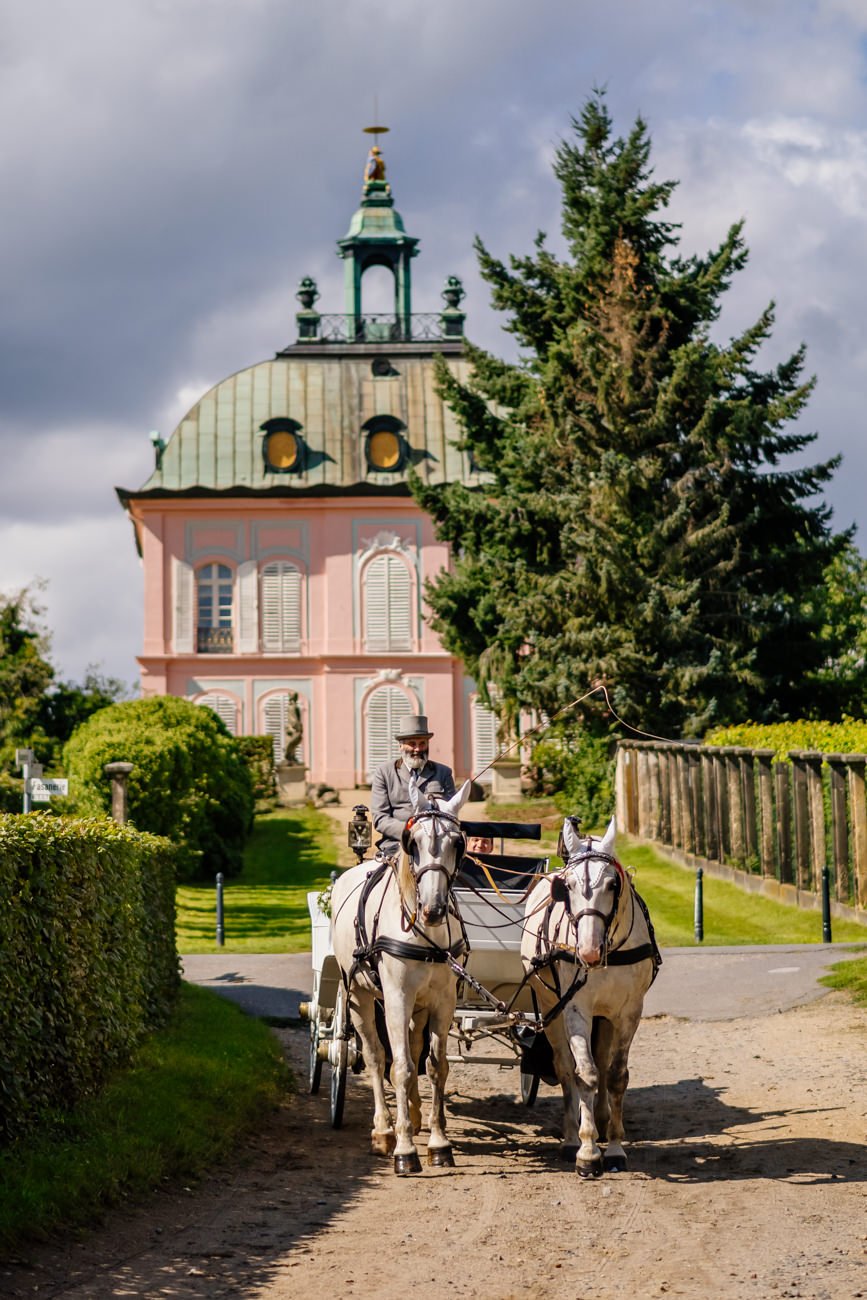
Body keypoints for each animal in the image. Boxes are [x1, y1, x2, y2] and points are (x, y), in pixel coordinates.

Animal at [328, 780, 470, 1180]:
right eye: (413, 842)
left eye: (458, 842)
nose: (434, 909)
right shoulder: (395, 998)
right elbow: (402, 1068)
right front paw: (405, 1150)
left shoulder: (442, 1001)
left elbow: (435, 1066)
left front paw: (439, 1143)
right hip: (359, 996)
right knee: (377, 1057)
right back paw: (383, 1131)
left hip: (417, 1006)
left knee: (412, 1047)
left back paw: (416, 1116)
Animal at [522, 821, 657, 1180]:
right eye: (566, 886)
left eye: (612, 884)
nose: (589, 951)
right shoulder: (575, 1009)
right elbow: (585, 1073)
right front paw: (587, 1150)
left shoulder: (628, 1012)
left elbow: (616, 1076)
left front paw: (614, 1147)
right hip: (551, 1010)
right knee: (564, 1067)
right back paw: (572, 1135)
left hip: (604, 1017)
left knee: (603, 1061)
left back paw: (601, 1117)